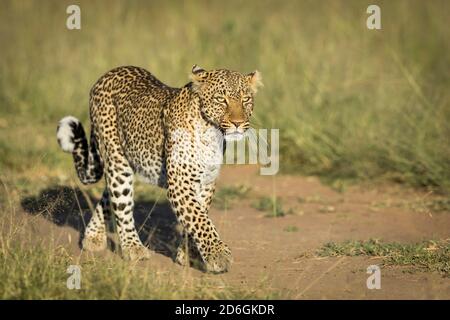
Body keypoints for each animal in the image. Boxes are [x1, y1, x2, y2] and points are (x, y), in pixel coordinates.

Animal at [56, 64, 262, 272]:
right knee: (121, 203)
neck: (211, 133)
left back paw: (93, 237)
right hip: (117, 160)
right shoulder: (180, 183)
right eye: (221, 99)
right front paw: (218, 254)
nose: (237, 123)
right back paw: (133, 248)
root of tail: (108, 74)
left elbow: (198, 215)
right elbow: (199, 219)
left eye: (246, 99)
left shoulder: (206, 183)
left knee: (108, 195)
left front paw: (187, 254)